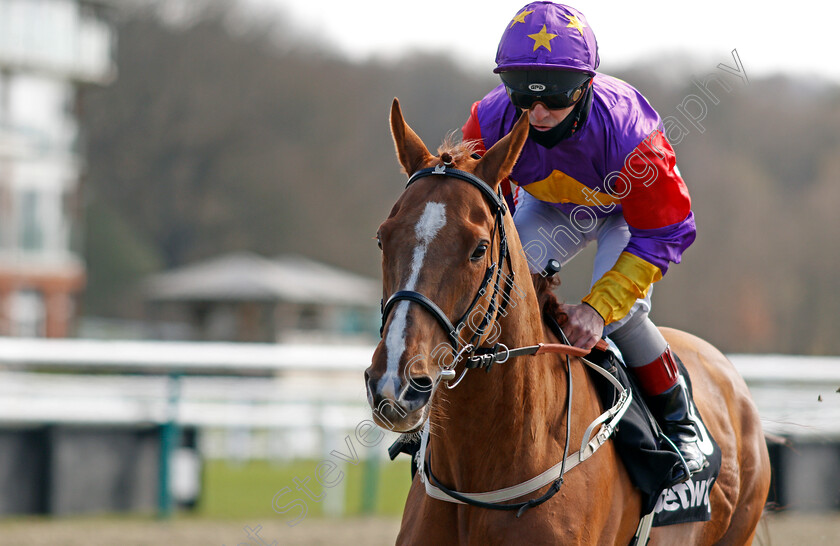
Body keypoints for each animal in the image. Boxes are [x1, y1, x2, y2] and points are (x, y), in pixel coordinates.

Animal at [364, 99, 772, 544]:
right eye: (383, 238)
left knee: (630, 314)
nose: (396, 385)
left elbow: (668, 227)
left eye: (479, 249)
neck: (479, 480)